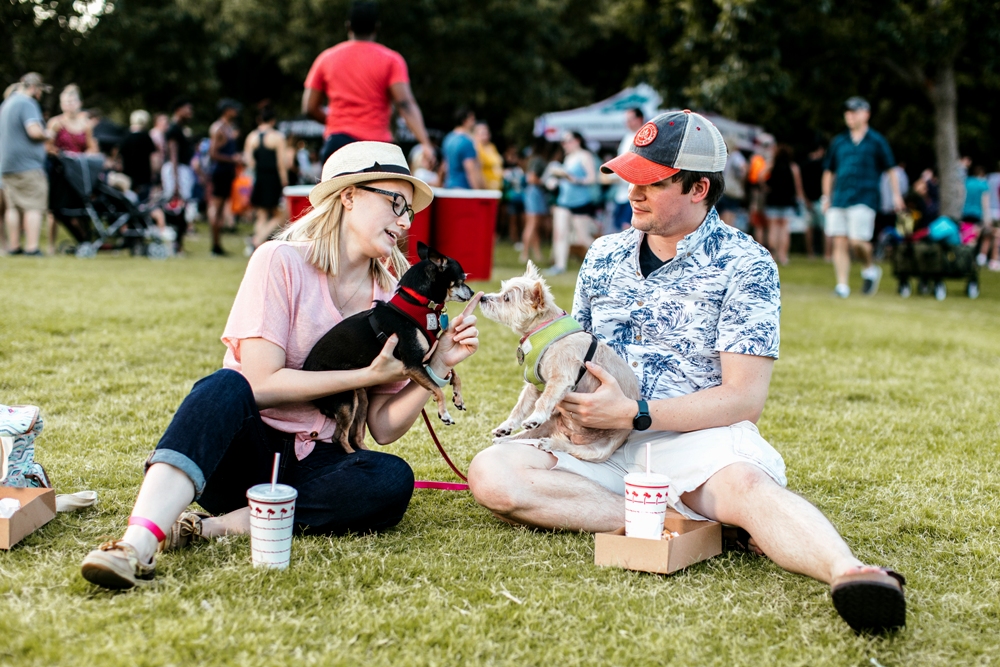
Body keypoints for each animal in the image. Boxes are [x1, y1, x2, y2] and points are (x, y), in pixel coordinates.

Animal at [482, 264, 640, 462]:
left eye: (506, 298)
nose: (482, 297)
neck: (545, 332)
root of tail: (570, 433)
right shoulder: (533, 386)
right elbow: (520, 407)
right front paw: (506, 425)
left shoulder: (560, 378)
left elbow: (544, 399)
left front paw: (535, 416)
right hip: (549, 425)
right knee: (525, 436)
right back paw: (506, 439)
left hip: (598, 450)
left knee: (571, 448)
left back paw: (551, 443)